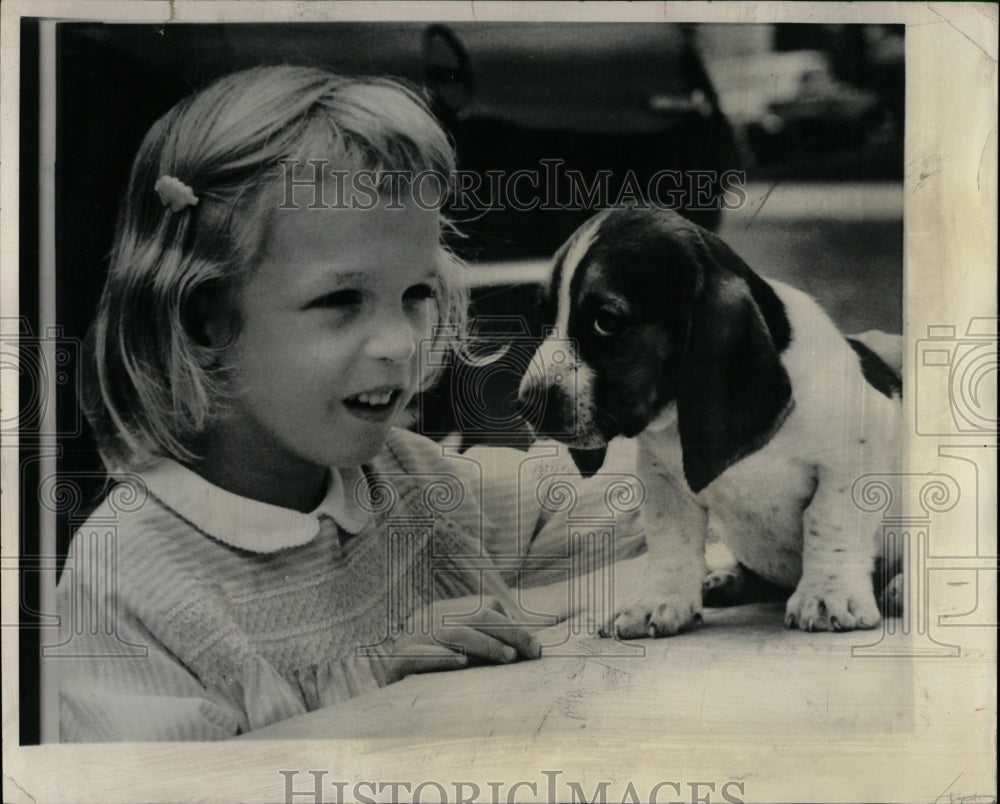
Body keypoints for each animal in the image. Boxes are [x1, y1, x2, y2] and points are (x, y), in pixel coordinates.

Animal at [520, 210, 904, 636]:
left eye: (606, 320)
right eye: (546, 316)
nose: (526, 403)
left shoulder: (857, 451)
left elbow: (830, 520)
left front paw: (826, 597)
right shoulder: (663, 479)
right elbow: (672, 541)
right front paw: (658, 601)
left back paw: (902, 587)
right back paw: (724, 579)